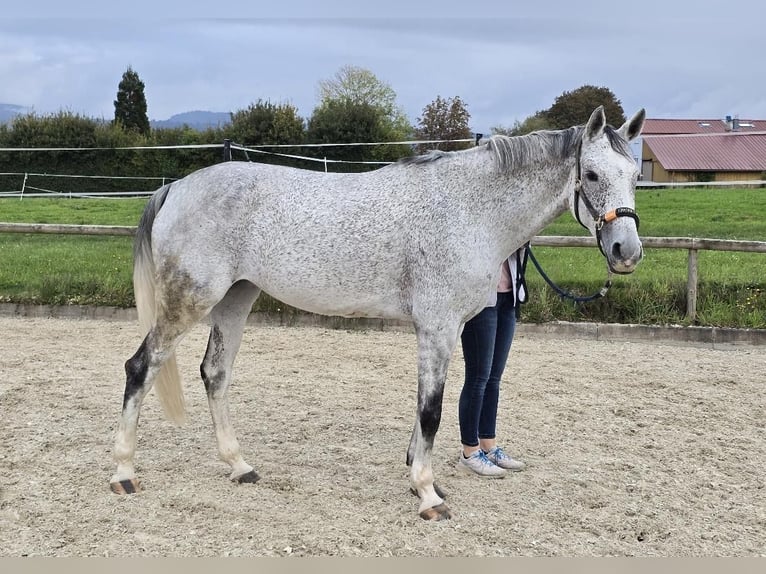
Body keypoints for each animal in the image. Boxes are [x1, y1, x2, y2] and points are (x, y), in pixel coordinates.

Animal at [110, 105, 646, 521]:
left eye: (635, 176)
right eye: (592, 175)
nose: (626, 251)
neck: (470, 209)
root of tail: (177, 188)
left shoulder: (446, 329)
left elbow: (425, 405)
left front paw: (421, 480)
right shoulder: (437, 327)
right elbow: (432, 409)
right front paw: (428, 495)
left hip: (235, 300)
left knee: (215, 373)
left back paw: (239, 465)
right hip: (189, 302)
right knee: (141, 367)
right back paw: (124, 473)